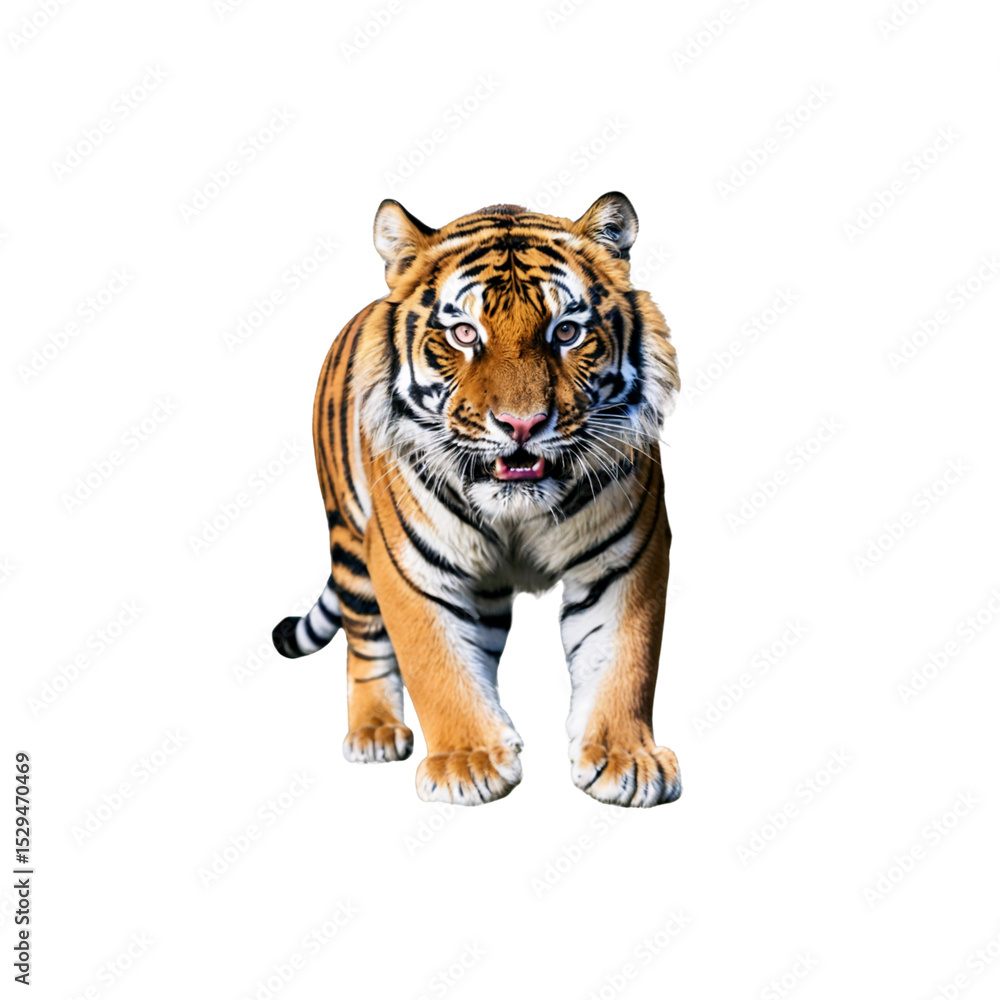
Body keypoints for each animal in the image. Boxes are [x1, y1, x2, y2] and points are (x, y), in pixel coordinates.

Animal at [271, 192, 682, 807]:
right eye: (464, 334)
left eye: (566, 332)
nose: (522, 424)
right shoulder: (411, 566)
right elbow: (436, 664)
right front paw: (466, 762)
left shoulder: (626, 558)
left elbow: (623, 661)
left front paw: (626, 760)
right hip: (349, 533)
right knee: (364, 639)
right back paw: (374, 732)